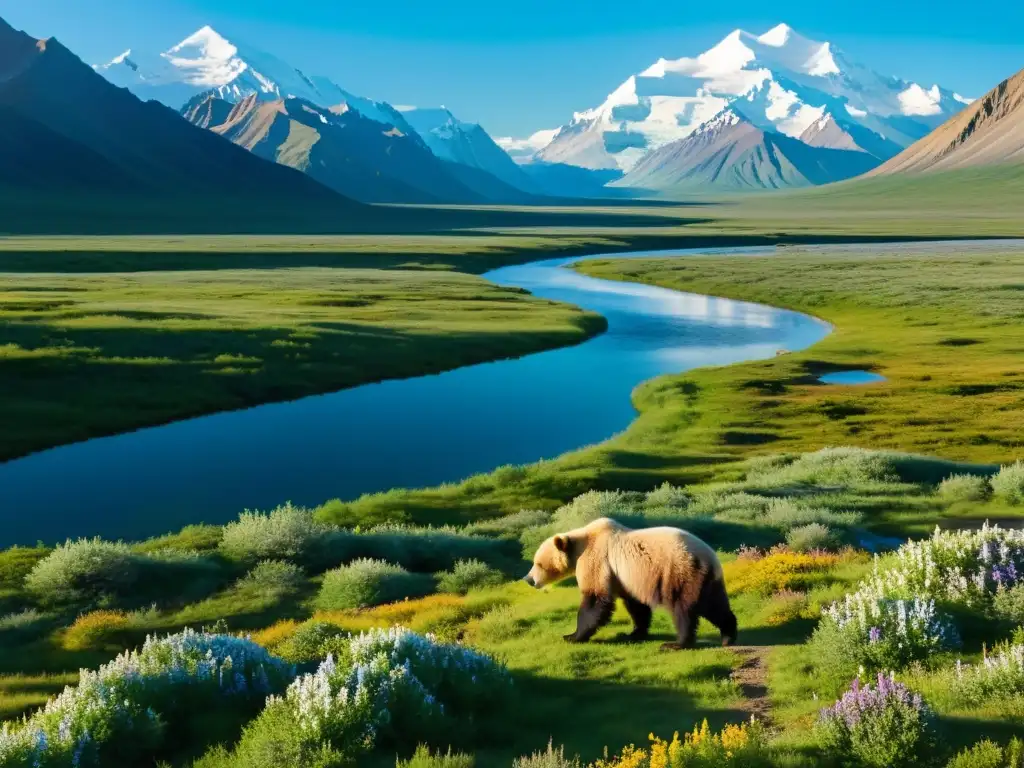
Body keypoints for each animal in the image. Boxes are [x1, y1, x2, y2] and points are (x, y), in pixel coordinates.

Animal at [524, 518, 733, 651]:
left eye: (538, 563)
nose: (528, 579)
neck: (580, 540)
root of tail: (711, 558)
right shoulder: (626, 576)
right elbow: (635, 604)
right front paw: (633, 633)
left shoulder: (596, 558)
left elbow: (595, 599)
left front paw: (572, 636)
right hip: (705, 578)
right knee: (714, 605)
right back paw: (728, 635)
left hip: (680, 570)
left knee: (683, 608)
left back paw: (677, 643)